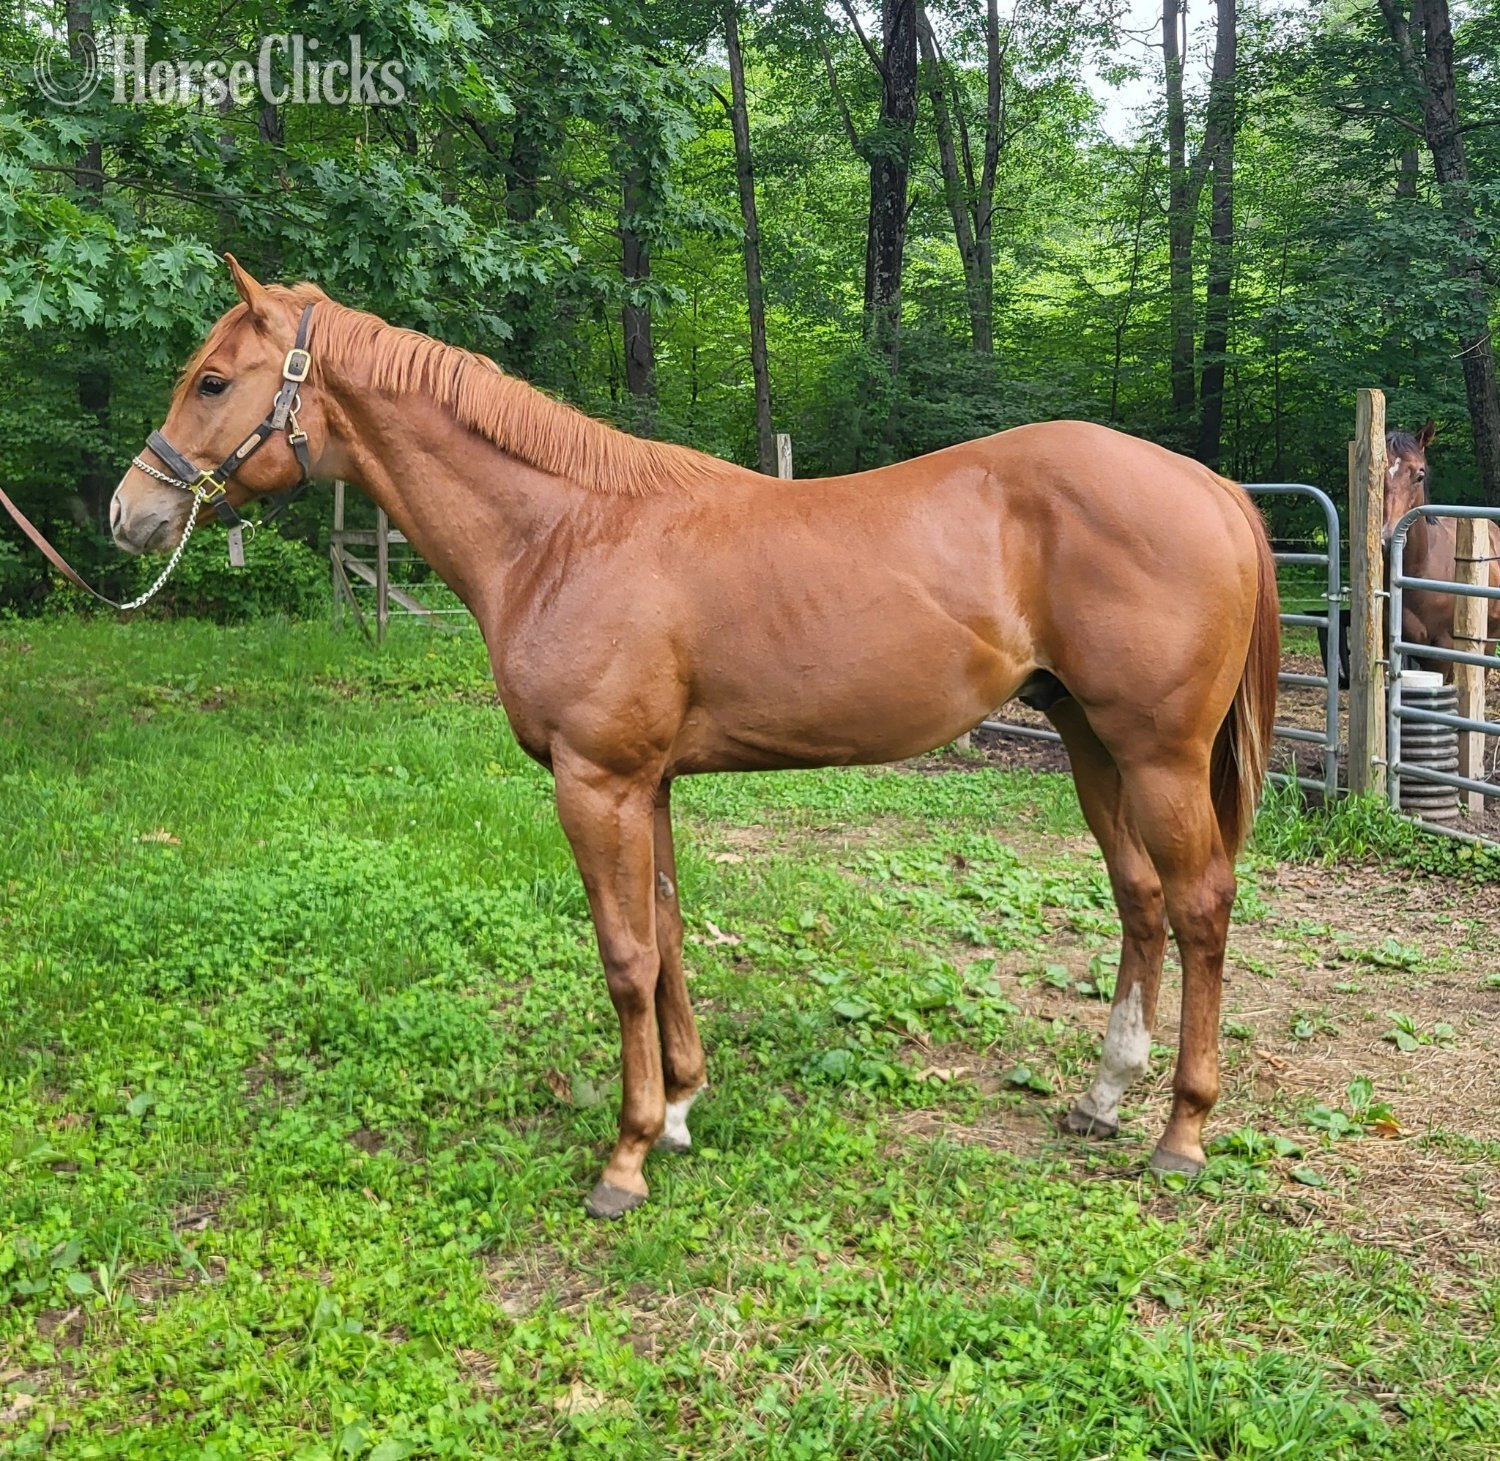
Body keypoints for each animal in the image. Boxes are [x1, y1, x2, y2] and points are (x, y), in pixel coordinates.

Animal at [109, 257, 1278, 1218]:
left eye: (211, 381)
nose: (129, 514)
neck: (566, 532)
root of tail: (1211, 486)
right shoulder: (650, 784)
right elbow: (668, 932)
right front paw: (679, 1106)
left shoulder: (597, 783)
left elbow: (624, 956)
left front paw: (626, 1155)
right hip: (1090, 743)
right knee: (1139, 899)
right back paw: (1104, 1095)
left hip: (1159, 756)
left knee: (1200, 905)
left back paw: (1182, 1132)